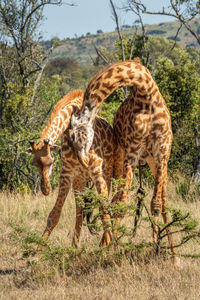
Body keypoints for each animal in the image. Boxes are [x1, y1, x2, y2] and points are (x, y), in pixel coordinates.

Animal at [28, 89, 115, 248]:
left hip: (107, 170)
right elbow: (54, 215)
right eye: (34, 164)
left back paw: (104, 243)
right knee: (80, 210)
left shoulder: (96, 167)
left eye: (51, 162)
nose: (45, 189)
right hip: (80, 179)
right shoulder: (67, 173)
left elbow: (104, 209)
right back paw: (75, 246)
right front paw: (36, 251)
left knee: (104, 205)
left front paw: (110, 247)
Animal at [70, 59, 175, 256]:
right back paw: (105, 244)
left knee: (162, 200)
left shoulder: (162, 150)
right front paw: (113, 247)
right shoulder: (132, 151)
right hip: (121, 161)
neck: (146, 91)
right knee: (115, 198)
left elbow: (157, 204)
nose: (82, 161)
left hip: (153, 161)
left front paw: (161, 249)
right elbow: (123, 201)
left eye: (73, 137)